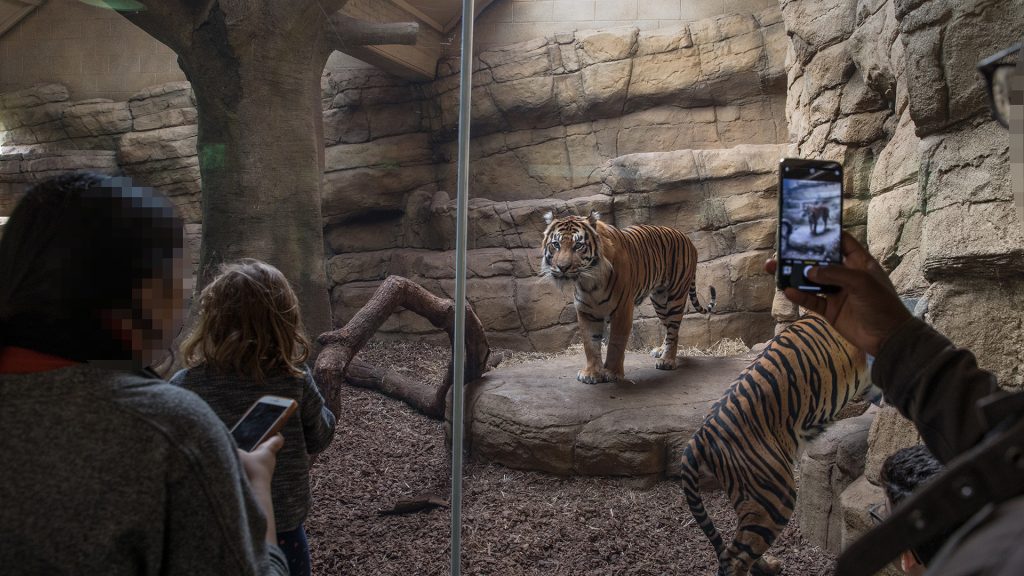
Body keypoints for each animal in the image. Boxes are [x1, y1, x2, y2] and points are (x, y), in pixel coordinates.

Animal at [540, 210, 716, 381]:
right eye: (556, 244)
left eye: (578, 245)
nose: (562, 267)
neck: (589, 282)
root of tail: (687, 238)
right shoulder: (586, 311)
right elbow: (590, 344)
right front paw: (591, 373)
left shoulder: (622, 309)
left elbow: (615, 343)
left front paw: (611, 372)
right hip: (660, 300)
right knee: (671, 329)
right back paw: (661, 351)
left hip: (675, 297)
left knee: (673, 328)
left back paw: (667, 360)